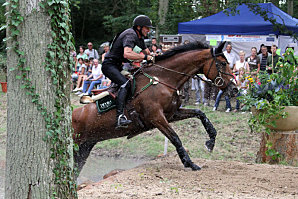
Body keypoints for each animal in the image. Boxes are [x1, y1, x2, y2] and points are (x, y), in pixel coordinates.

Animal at [73, 41, 239, 174]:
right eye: (223, 63)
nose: (234, 89)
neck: (163, 79)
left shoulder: (172, 114)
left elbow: (200, 113)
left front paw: (210, 142)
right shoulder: (156, 118)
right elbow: (175, 138)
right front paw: (190, 163)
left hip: (85, 147)